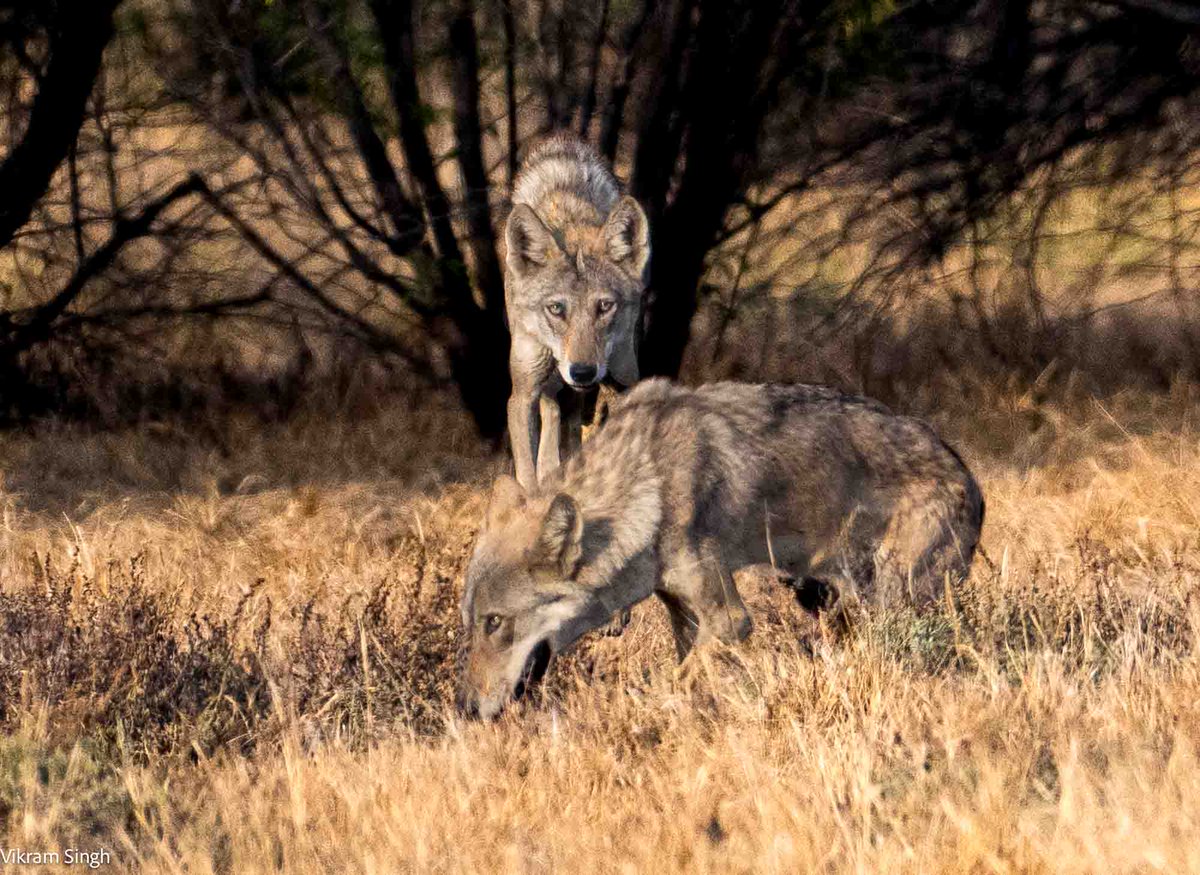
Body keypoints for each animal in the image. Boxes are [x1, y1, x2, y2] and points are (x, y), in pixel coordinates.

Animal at [458, 381, 984, 715]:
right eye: (472, 623)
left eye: (495, 623)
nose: (465, 708)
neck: (647, 481)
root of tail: (970, 479)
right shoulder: (685, 615)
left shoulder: (730, 619)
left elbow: (673, 681)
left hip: (890, 603)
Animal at [501, 135, 652, 492]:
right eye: (556, 308)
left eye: (605, 306)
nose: (582, 371)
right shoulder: (523, 392)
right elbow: (527, 475)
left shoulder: (622, 380)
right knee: (553, 412)